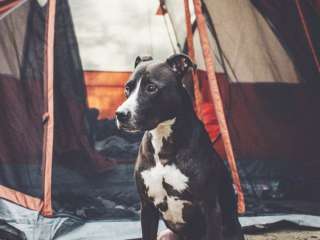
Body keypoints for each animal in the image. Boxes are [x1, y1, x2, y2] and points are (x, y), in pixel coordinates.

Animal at [116, 54, 244, 240]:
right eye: (128, 88)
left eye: (151, 88)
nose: (120, 114)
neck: (163, 141)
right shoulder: (146, 207)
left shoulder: (211, 208)